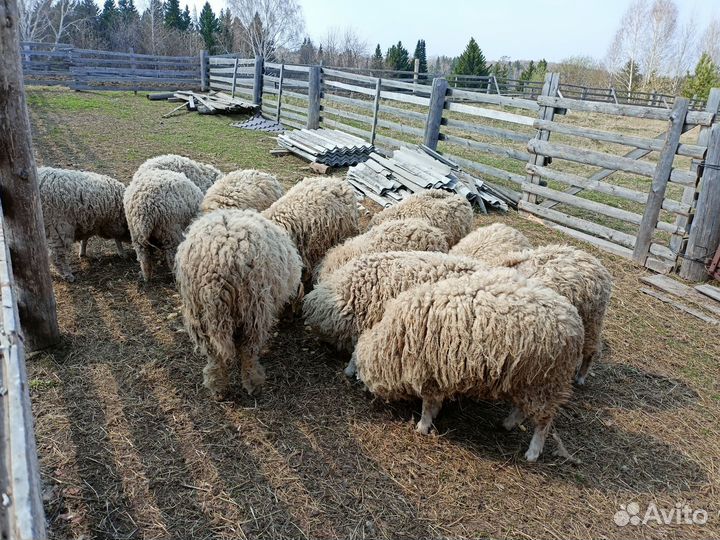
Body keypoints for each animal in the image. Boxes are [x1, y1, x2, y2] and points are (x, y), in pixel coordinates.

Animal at [175, 209, 302, 396]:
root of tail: (218, 263)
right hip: (253, 307)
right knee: (248, 348)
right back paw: (253, 383)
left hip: (197, 311)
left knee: (213, 352)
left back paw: (218, 387)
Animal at [352, 269, 585, 462]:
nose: (362, 391)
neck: (397, 341)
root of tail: (575, 322)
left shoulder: (429, 373)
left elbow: (428, 404)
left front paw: (422, 426)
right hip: (527, 378)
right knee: (522, 408)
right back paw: (508, 423)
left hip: (547, 380)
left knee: (544, 420)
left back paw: (533, 452)